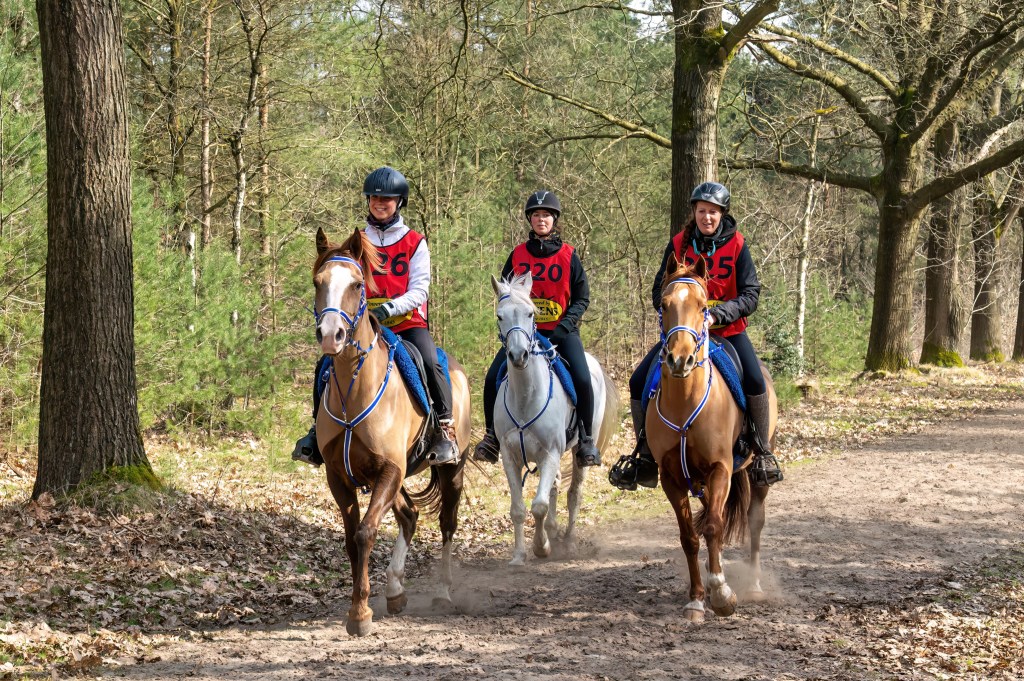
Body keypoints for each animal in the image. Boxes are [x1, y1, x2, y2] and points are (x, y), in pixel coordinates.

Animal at [312, 227, 472, 637]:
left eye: (356, 284)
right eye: (318, 281)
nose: (331, 335)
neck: (354, 393)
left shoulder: (390, 469)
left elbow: (366, 533)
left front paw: (360, 614)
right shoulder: (340, 476)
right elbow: (352, 540)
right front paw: (363, 605)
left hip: (452, 467)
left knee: (446, 524)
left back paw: (443, 593)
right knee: (409, 514)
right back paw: (396, 590)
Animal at [490, 272, 619, 565]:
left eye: (530, 313)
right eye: (500, 316)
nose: (518, 355)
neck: (526, 396)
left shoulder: (549, 453)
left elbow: (538, 506)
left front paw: (541, 547)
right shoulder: (510, 456)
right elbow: (518, 509)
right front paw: (519, 555)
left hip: (578, 450)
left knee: (574, 494)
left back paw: (568, 541)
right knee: (555, 488)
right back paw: (553, 530)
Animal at [649, 253, 776, 622]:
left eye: (704, 306)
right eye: (664, 304)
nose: (680, 359)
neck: (685, 402)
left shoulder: (721, 469)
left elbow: (715, 528)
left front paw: (721, 594)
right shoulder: (672, 478)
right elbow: (690, 536)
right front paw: (696, 598)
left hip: (754, 473)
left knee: (754, 521)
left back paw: (754, 585)